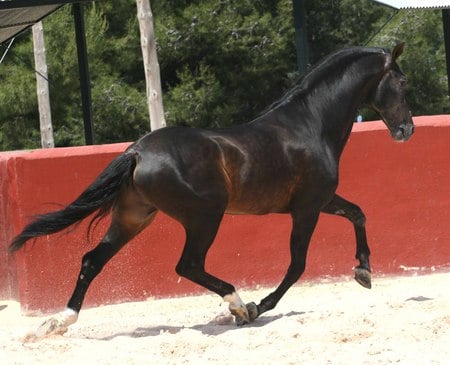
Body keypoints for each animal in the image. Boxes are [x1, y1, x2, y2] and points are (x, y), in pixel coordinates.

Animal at [9, 42, 414, 336]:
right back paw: (238, 304)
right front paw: (258, 307)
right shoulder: (308, 207)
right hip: (205, 216)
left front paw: (364, 272)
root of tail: (137, 151)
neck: (310, 125)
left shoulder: (322, 200)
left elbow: (358, 213)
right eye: (401, 81)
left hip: (133, 217)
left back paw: (56, 323)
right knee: (188, 264)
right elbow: (298, 264)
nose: (406, 129)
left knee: (92, 261)